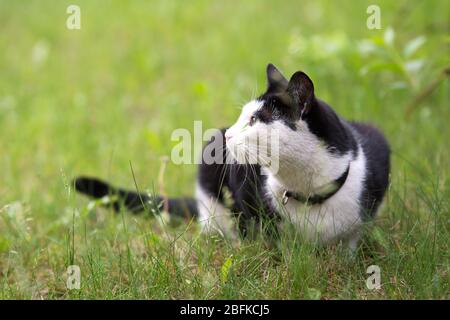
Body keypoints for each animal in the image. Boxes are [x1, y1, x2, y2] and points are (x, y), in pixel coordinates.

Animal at [74, 64, 390, 250]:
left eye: (254, 119)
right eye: (242, 117)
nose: (228, 135)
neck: (308, 190)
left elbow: (349, 245)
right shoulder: (244, 189)